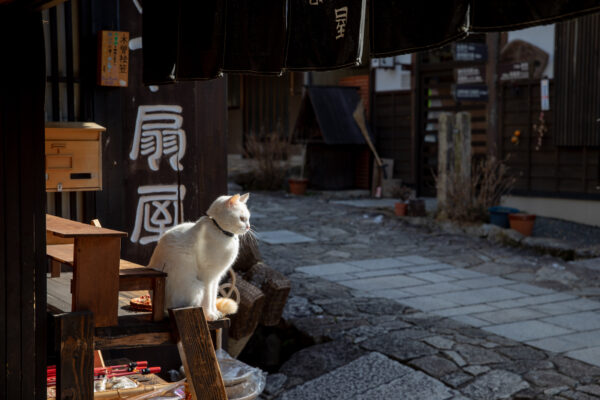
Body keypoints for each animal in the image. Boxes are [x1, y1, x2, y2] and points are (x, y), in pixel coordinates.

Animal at [150, 192, 253, 320]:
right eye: (242, 219)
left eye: (248, 218)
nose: (248, 227)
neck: (220, 231)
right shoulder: (208, 276)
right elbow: (208, 297)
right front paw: (209, 315)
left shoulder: (216, 277)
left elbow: (213, 296)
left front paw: (215, 312)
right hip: (196, 287)